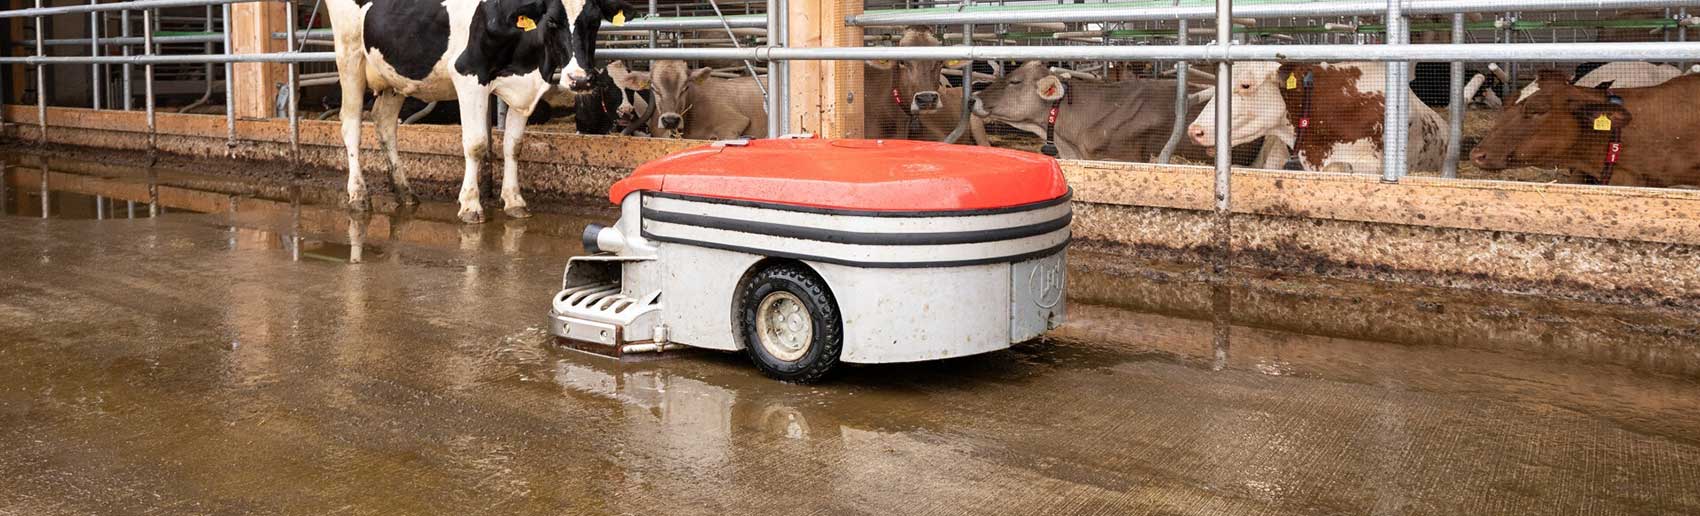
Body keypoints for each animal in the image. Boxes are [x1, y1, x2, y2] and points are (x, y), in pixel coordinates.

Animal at [326, 0, 632, 222]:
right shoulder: (469, 75)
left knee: (384, 123)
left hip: (395, 72)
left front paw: (514, 200)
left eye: (595, 22)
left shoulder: (525, 87)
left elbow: (513, 146)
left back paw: (405, 192)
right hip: (350, 55)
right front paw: (471, 204)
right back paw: (358, 195)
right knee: (351, 124)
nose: (581, 80)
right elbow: (476, 144)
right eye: (552, 21)